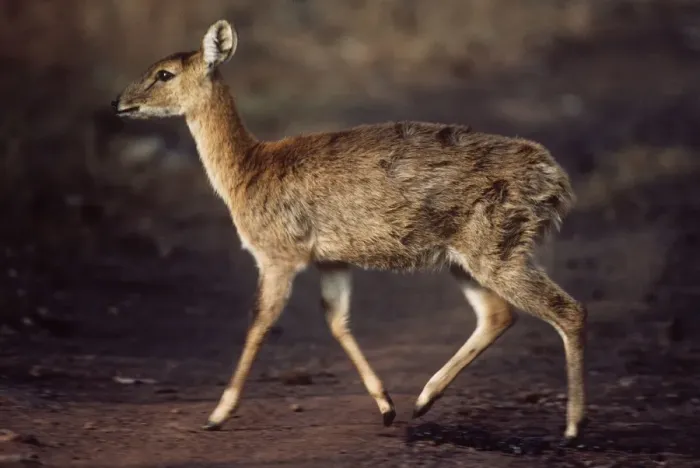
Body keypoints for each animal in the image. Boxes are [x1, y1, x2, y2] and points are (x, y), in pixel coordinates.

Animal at [112, 19, 587, 443]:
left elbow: (261, 319)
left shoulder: (278, 254)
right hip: (466, 257)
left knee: (568, 310)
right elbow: (336, 319)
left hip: (497, 247)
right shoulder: (332, 259)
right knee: (498, 313)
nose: (119, 101)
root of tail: (557, 181)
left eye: (164, 73)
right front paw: (386, 406)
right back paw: (422, 400)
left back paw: (572, 428)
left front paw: (217, 414)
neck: (248, 171)